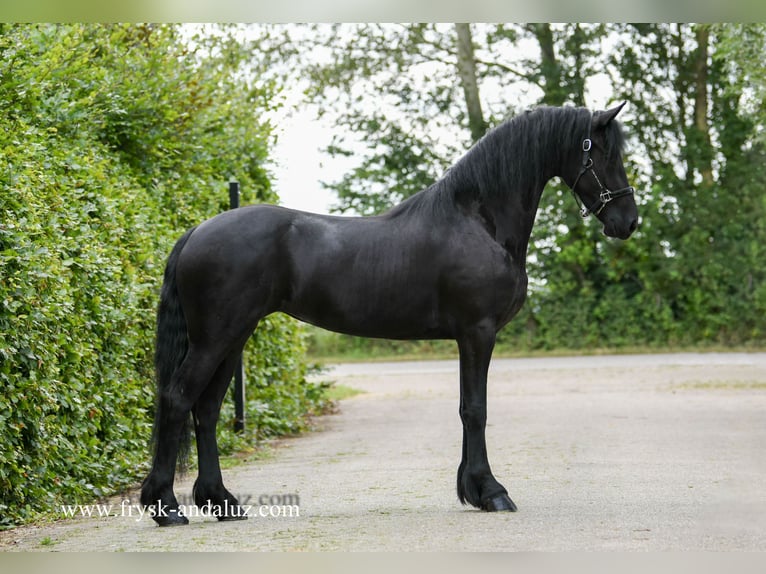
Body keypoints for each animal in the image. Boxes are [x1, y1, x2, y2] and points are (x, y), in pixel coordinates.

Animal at [141, 103, 640, 528]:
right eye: (603, 154)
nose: (628, 221)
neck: (477, 220)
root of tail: (196, 232)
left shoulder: (469, 336)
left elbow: (467, 408)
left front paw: (472, 491)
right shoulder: (477, 332)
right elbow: (475, 409)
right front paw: (491, 492)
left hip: (234, 336)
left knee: (206, 409)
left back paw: (220, 502)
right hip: (215, 338)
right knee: (179, 398)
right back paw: (166, 507)